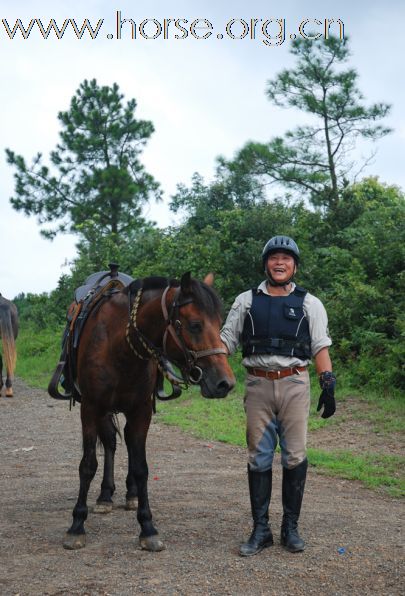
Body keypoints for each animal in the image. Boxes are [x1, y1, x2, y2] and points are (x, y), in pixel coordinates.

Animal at [61, 272, 235, 552]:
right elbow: (87, 465)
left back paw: (128, 495)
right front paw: (77, 525)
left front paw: (147, 528)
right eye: (195, 325)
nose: (224, 383)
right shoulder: (91, 408)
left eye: (219, 323)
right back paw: (105, 496)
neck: (120, 345)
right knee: (110, 443)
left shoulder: (141, 412)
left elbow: (141, 467)